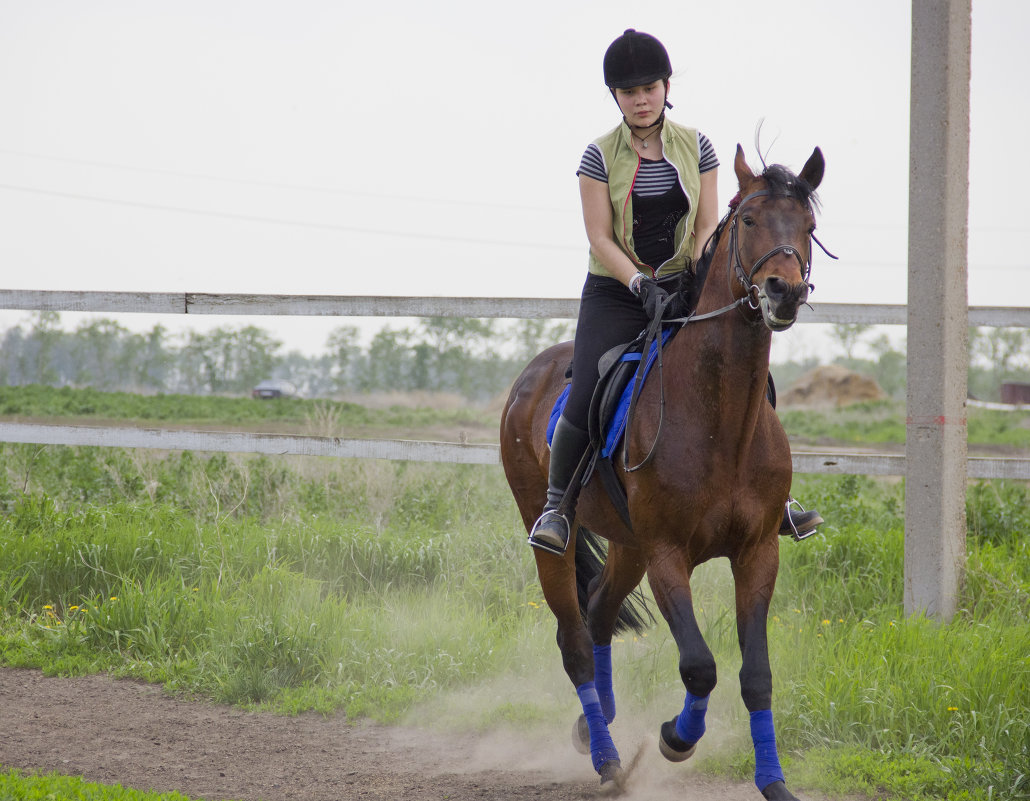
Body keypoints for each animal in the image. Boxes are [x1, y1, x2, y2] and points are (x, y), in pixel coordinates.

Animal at [498, 145, 828, 798]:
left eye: (807, 225)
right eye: (748, 219)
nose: (783, 291)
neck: (719, 424)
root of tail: (530, 375)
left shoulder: (757, 552)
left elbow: (756, 675)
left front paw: (774, 782)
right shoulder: (668, 555)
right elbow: (700, 666)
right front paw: (677, 738)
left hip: (627, 545)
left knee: (600, 612)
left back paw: (595, 724)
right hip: (559, 538)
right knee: (575, 639)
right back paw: (606, 759)